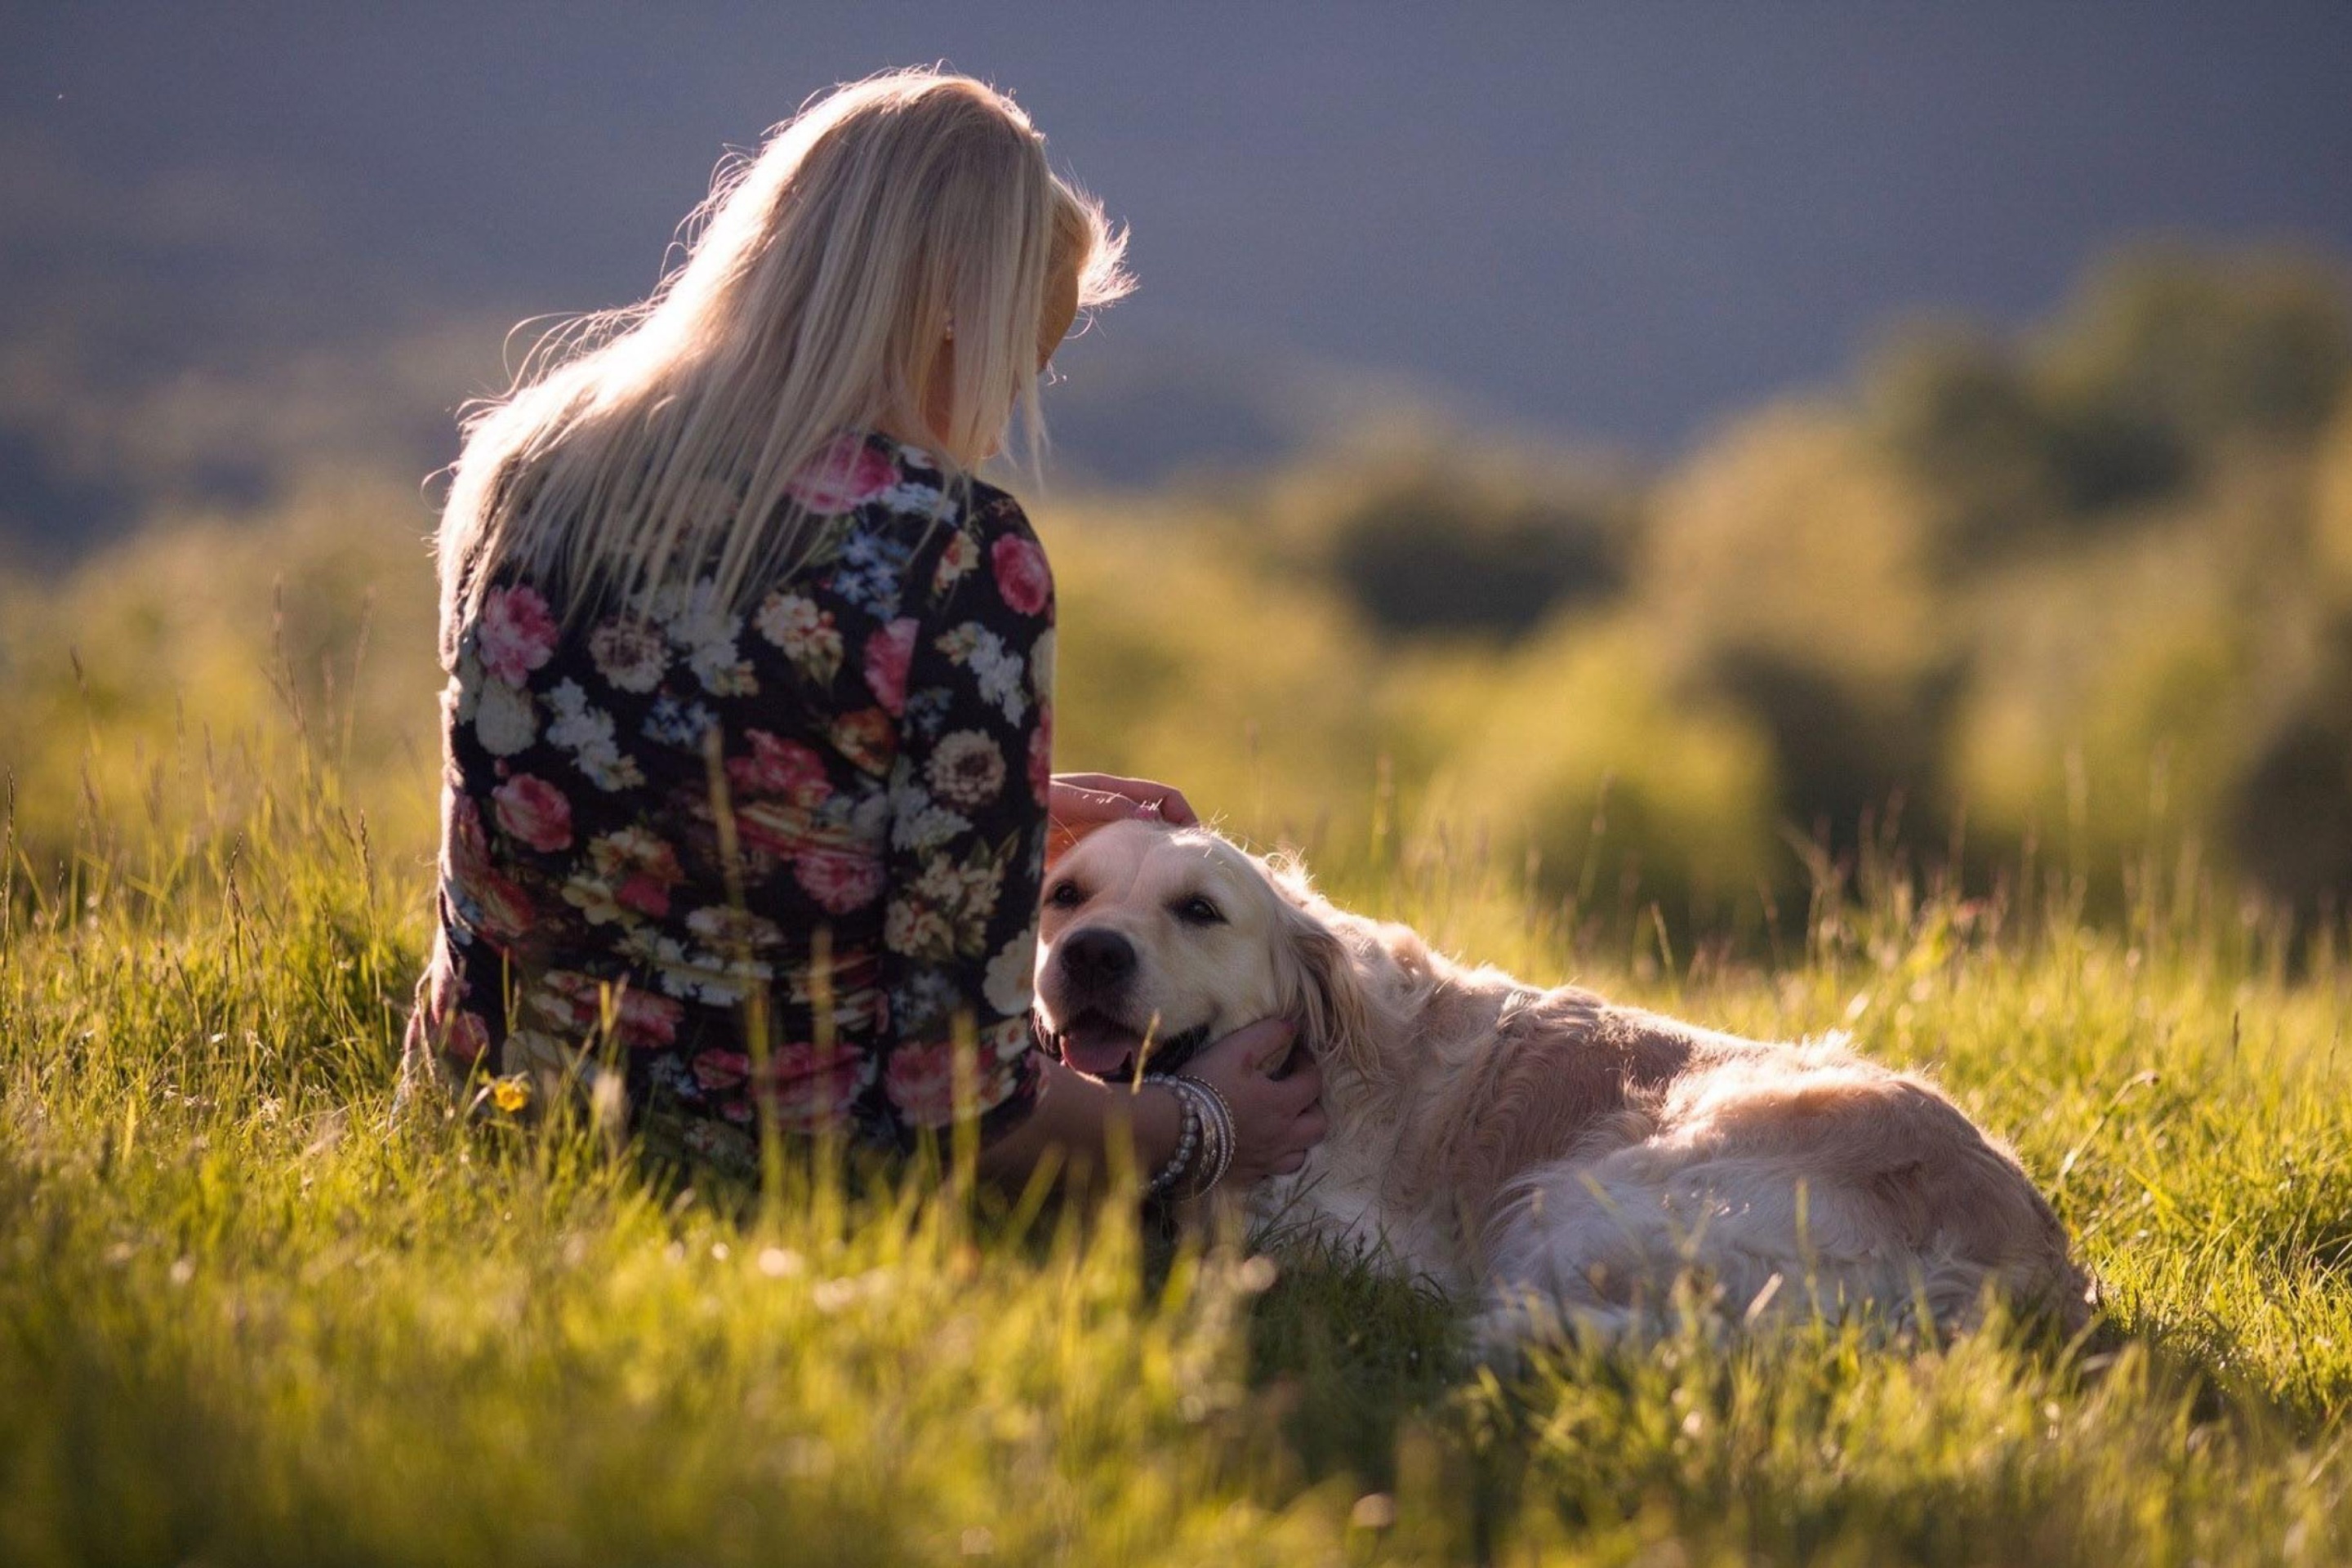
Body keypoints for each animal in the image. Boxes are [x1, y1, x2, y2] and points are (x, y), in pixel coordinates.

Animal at [1030, 817, 2097, 1344]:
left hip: (1588, 1198)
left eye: (1200, 911)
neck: (1328, 1052)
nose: (1090, 954)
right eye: (1064, 895)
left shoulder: (1357, 1234)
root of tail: (2024, 1258)